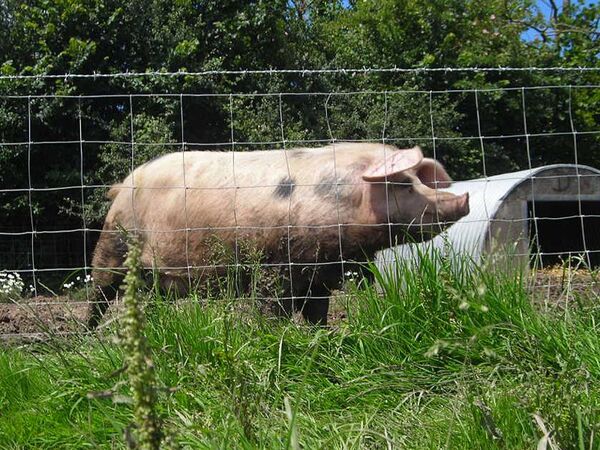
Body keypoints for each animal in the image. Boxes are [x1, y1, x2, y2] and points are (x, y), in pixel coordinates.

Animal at [91, 142, 472, 326]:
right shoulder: (275, 267)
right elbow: (272, 309)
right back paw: (84, 339)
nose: (464, 199)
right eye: (403, 184)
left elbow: (317, 312)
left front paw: (322, 337)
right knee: (100, 295)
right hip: (113, 244)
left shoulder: (319, 276)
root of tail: (123, 183)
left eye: (418, 179)